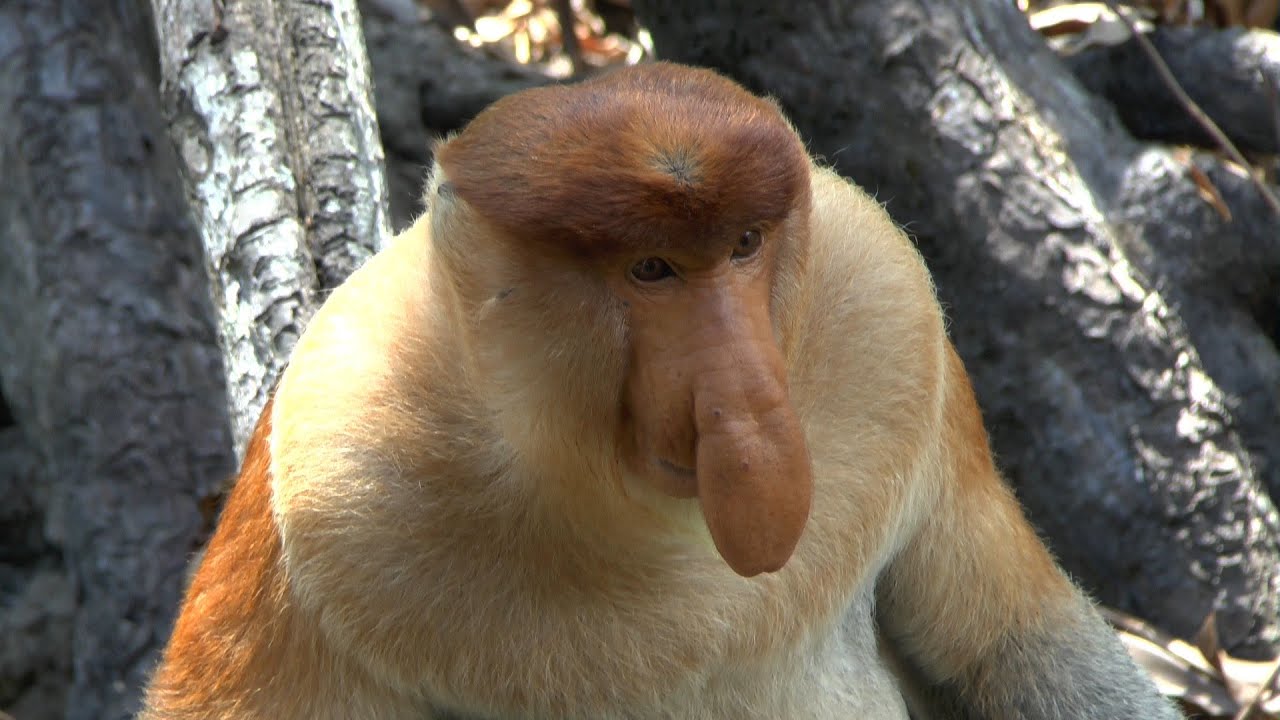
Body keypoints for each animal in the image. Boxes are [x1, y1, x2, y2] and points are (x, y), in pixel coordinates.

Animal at [140, 61, 1181, 720]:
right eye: (650, 270)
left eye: (745, 245)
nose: (747, 414)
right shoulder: (329, 481)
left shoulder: (892, 311)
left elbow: (1022, 641)